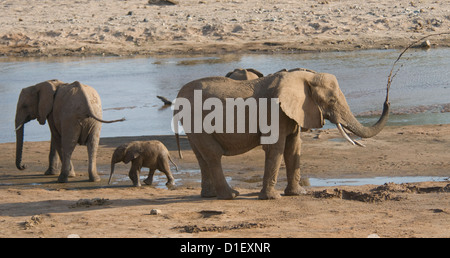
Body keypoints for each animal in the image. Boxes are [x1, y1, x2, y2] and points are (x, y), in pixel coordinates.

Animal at [174, 69, 388, 201]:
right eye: (332, 101)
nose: (387, 102)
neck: (304, 78)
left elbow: (293, 147)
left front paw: (298, 193)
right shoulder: (275, 111)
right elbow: (276, 147)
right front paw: (272, 198)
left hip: (192, 126)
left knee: (202, 156)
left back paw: (209, 195)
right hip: (197, 122)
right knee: (213, 154)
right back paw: (231, 195)